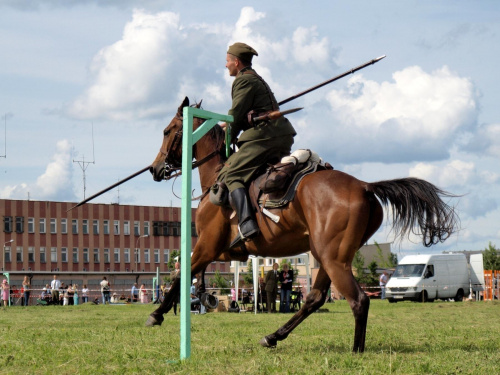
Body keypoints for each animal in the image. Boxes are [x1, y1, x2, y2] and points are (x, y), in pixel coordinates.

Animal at [145, 97, 458, 352]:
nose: (155, 169)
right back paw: (273, 337)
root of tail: (364, 186)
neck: (217, 179)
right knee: (315, 298)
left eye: (167, 131)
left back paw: (356, 350)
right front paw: (199, 297)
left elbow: (180, 274)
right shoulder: (221, 252)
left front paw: (156, 314)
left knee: (358, 300)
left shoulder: (207, 246)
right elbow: (191, 274)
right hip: (325, 256)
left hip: (332, 258)